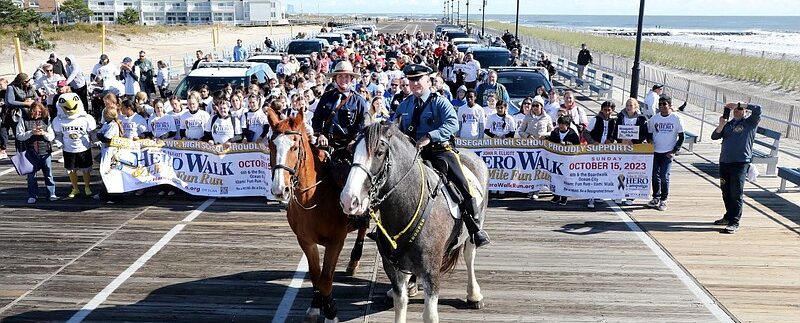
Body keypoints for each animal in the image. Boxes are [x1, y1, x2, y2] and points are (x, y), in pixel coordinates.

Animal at [268, 109, 370, 323]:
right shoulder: (306, 240)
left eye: (294, 147)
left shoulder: (336, 241)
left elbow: (326, 277)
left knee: (364, 228)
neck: (313, 197)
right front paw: (316, 305)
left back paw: (354, 260)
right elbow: (316, 275)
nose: (280, 189)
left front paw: (330, 311)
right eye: (271, 145)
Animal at [340, 123, 484, 323]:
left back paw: (474, 295)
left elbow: (430, 315)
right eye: (352, 151)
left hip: (475, 228)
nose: (348, 200)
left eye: (379, 152)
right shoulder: (392, 268)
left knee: (469, 255)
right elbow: (400, 303)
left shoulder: (431, 271)